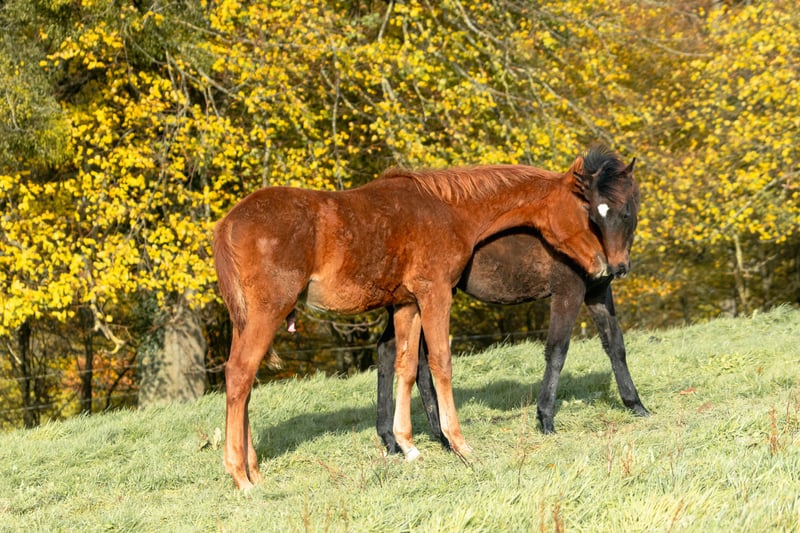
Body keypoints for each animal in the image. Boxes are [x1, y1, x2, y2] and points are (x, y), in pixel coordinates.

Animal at [213, 150, 611, 489]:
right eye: (584, 209)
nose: (601, 264)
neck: (448, 210)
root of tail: (227, 224)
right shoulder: (436, 294)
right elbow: (440, 363)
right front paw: (460, 444)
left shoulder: (408, 304)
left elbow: (405, 367)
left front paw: (408, 445)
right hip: (268, 312)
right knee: (240, 375)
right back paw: (240, 476)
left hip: (248, 320)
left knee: (243, 382)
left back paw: (254, 471)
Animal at [375, 145, 647, 454]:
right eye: (594, 216)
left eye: (626, 212)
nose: (617, 267)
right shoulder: (568, 292)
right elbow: (557, 351)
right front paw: (545, 419)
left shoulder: (598, 292)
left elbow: (615, 345)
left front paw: (636, 405)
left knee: (394, 353)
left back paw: (399, 438)